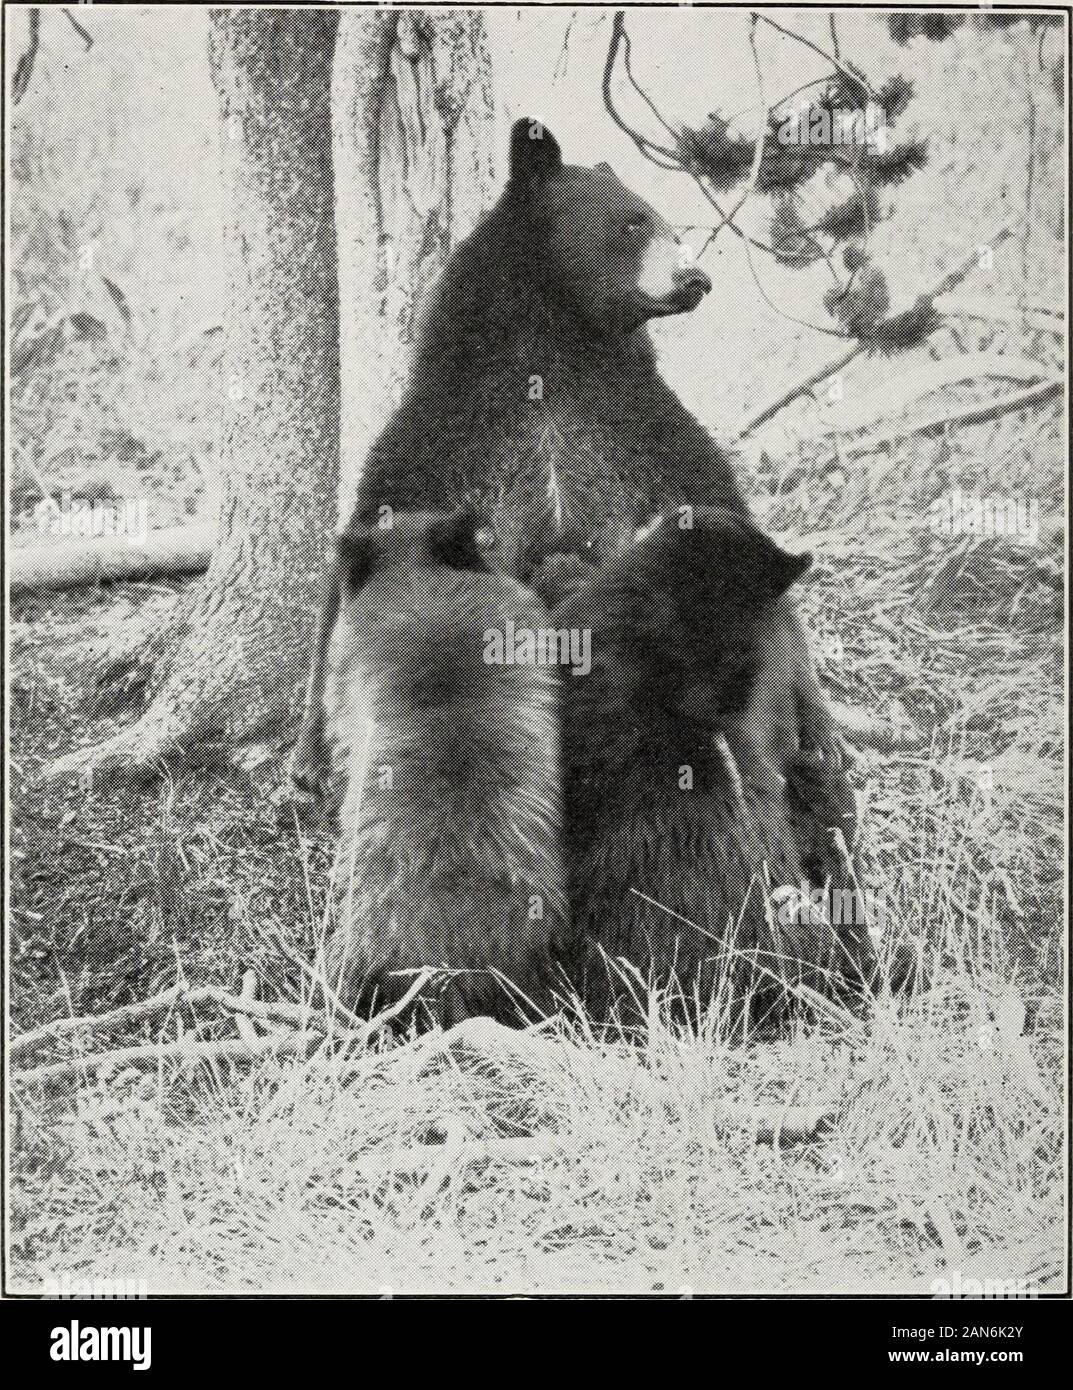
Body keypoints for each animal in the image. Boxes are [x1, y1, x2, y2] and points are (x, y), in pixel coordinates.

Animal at [291, 119, 839, 795]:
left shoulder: (641, 426)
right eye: (633, 223)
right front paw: (312, 753)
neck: (555, 349)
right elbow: (377, 531)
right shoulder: (447, 431)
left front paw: (816, 719)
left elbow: (718, 513)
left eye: (663, 222)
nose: (696, 280)